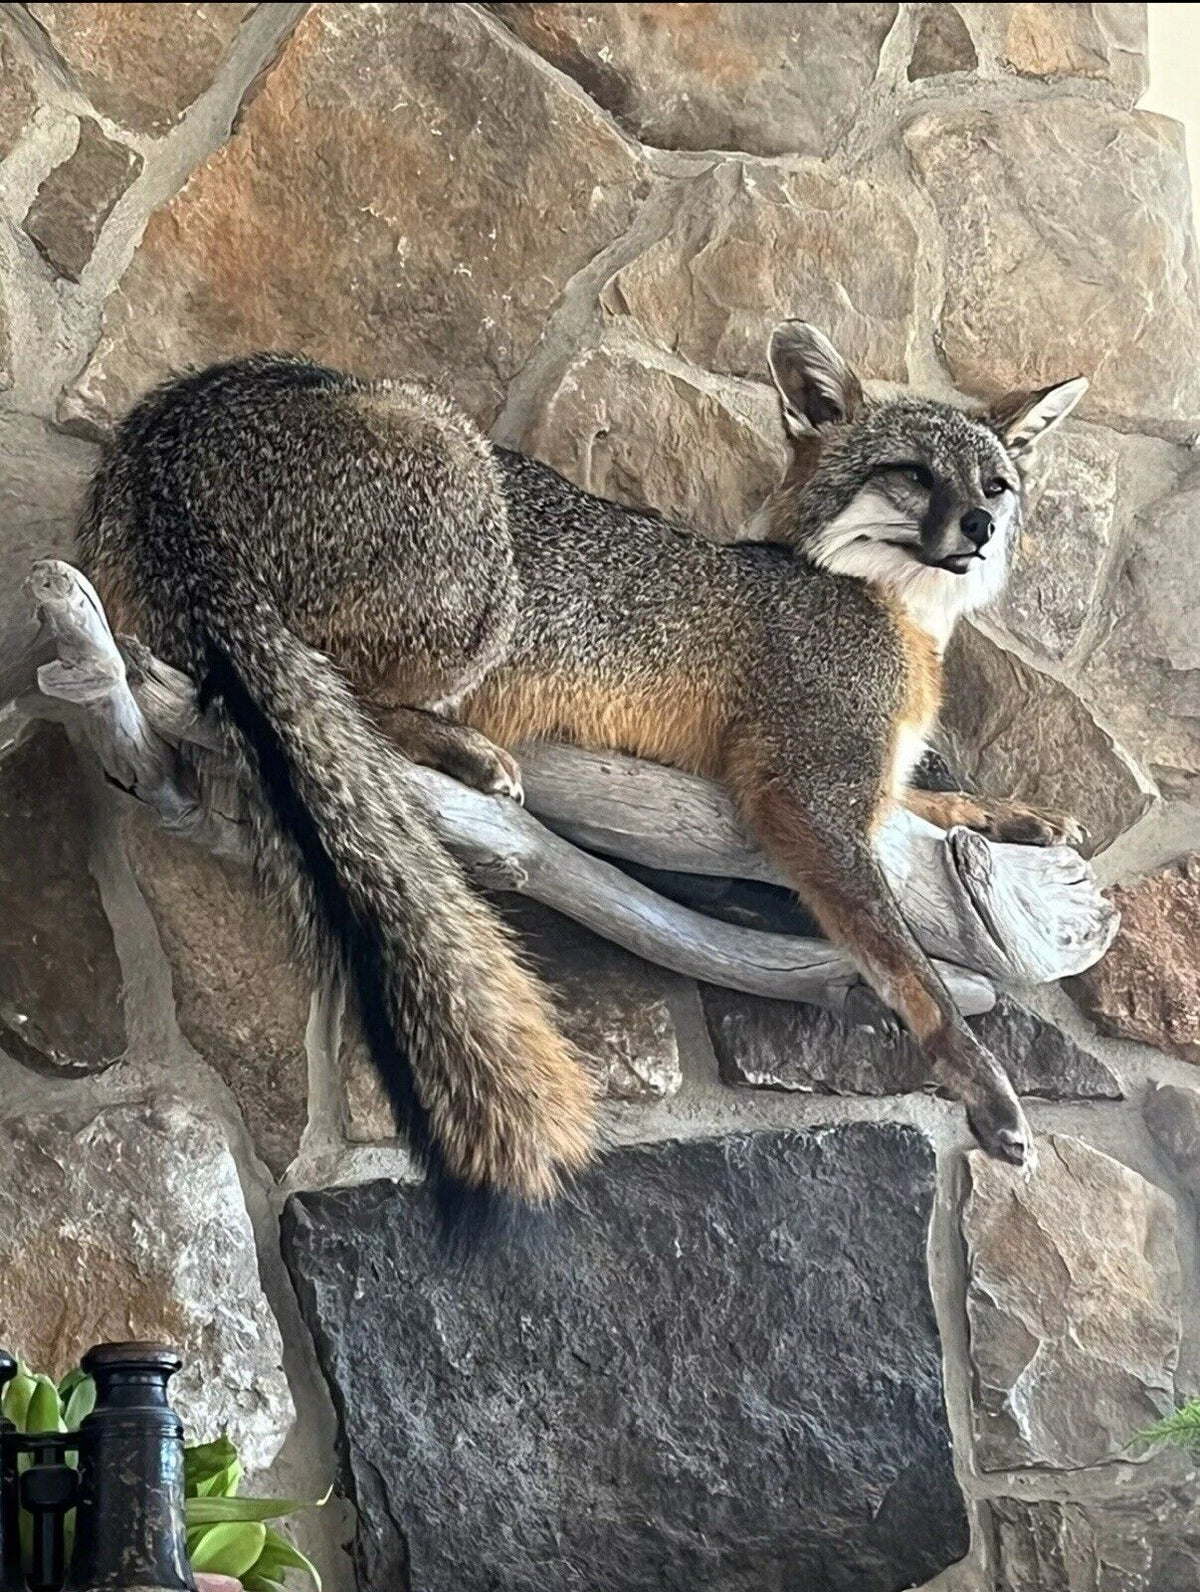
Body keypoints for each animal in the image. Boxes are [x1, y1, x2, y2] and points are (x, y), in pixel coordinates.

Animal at [76, 322, 1087, 1227]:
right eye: (912, 473)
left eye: (995, 483)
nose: (982, 526)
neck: (894, 617)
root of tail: (170, 440)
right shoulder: (805, 793)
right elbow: (909, 968)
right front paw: (983, 1083)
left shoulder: (869, 783)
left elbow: (931, 804)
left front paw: (1016, 817)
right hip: (468, 518)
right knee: (345, 690)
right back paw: (462, 750)